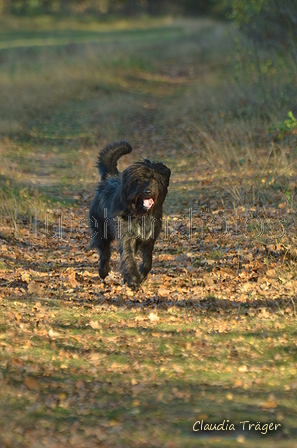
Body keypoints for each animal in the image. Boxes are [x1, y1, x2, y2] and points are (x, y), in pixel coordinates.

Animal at [88, 144, 170, 290]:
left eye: (154, 179)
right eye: (139, 180)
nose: (147, 191)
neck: (141, 214)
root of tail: (109, 178)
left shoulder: (149, 239)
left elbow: (147, 261)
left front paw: (141, 275)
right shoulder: (126, 237)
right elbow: (128, 258)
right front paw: (133, 280)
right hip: (101, 231)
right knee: (104, 253)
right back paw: (103, 271)